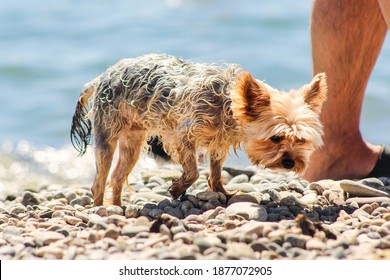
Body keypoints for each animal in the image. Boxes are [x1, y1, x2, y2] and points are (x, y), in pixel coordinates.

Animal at [70, 54, 326, 206]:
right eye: (275, 137)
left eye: (301, 140)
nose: (290, 163)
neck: (228, 103)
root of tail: (101, 77)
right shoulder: (182, 136)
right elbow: (193, 171)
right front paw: (176, 189)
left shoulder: (219, 142)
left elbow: (216, 170)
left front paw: (222, 191)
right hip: (107, 133)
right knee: (100, 180)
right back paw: (101, 210)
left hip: (133, 140)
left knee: (118, 176)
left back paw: (117, 208)